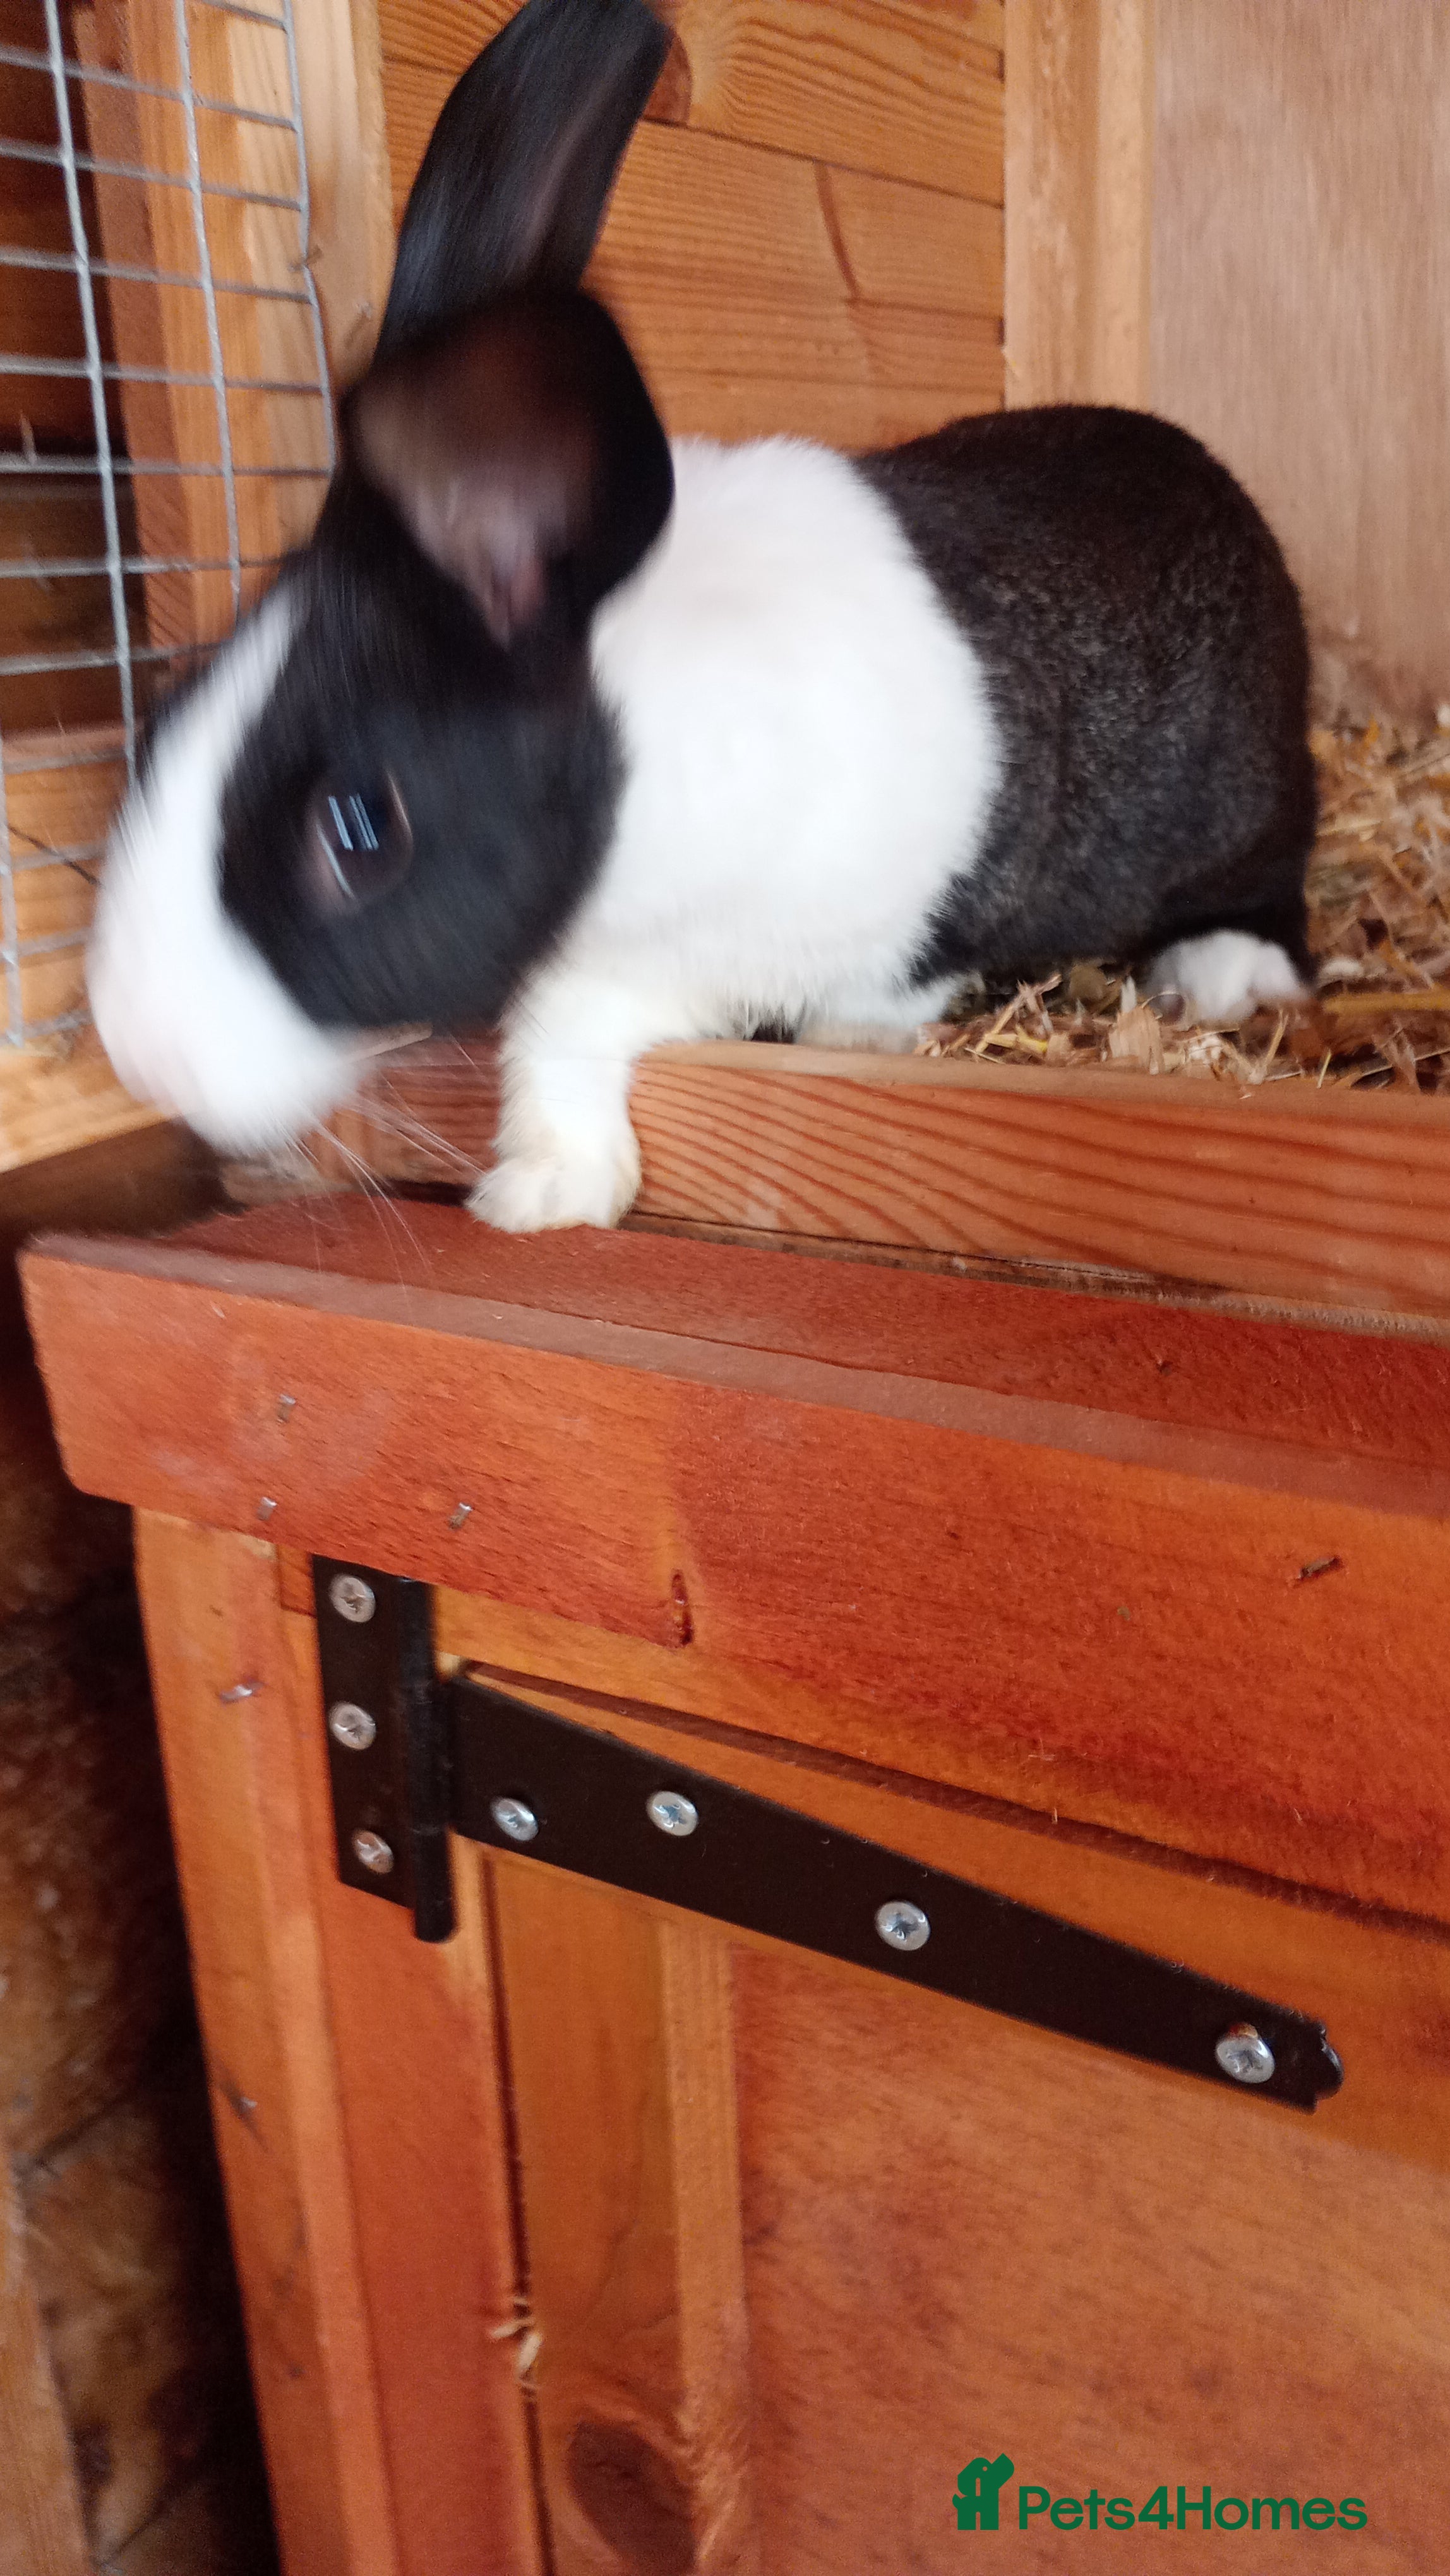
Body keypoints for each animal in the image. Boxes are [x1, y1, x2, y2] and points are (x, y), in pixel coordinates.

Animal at [88, 0, 1316, 1232]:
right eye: (161, 721)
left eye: (358, 830)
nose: (140, 1058)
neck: (639, 747)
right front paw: (555, 1182)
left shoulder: (788, 932)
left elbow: (579, 1017)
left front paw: (546, 1189)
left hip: (1250, 796)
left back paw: (1220, 971)